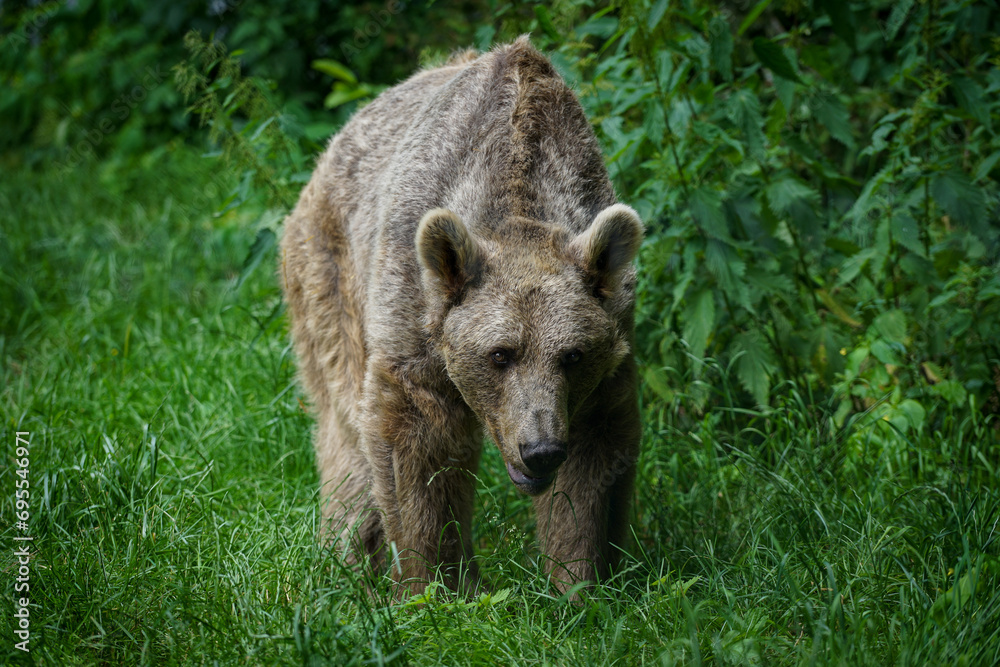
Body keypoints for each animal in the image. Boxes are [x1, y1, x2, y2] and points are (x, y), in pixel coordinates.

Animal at [280, 37, 643, 595]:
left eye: (572, 356)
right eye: (500, 354)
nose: (540, 449)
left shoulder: (610, 344)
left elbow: (595, 463)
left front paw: (583, 578)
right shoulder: (414, 311)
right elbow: (418, 445)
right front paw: (438, 585)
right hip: (329, 276)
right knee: (346, 438)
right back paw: (346, 561)